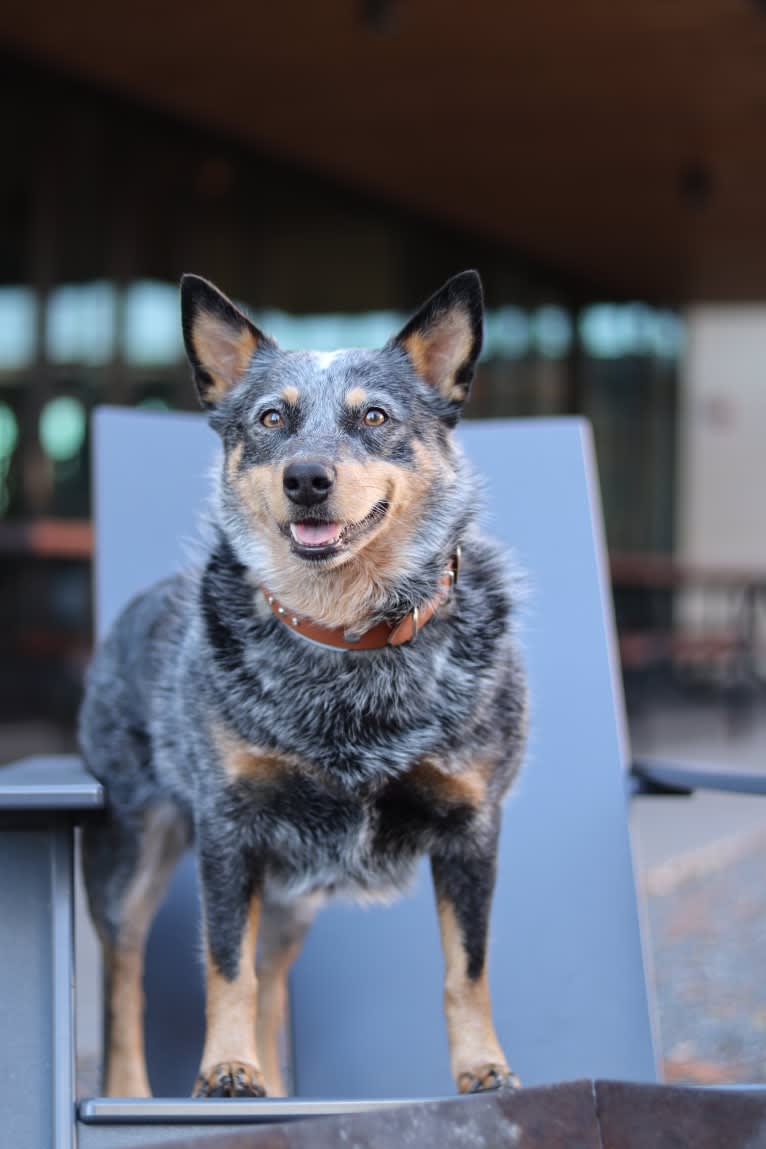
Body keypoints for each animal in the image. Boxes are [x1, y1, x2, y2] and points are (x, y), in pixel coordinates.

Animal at [80, 266, 530, 1093]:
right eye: (271, 418)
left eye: (374, 415)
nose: (307, 478)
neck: (348, 641)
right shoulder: (229, 827)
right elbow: (227, 965)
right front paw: (226, 1068)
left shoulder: (472, 824)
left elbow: (467, 967)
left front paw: (485, 1066)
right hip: (133, 851)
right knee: (125, 979)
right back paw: (132, 1089)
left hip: (294, 890)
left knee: (273, 975)